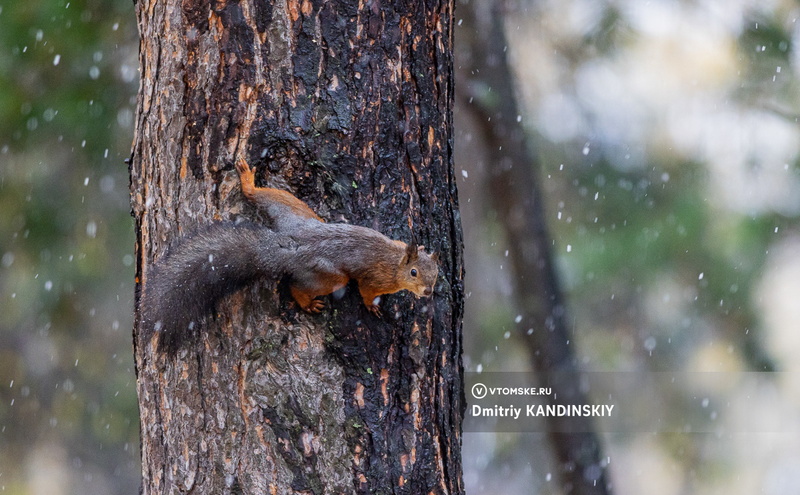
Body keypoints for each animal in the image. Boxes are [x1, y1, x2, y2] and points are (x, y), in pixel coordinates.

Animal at [138, 159, 438, 352]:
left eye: (437, 275)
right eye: (414, 273)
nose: (427, 292)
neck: (396, 262)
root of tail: (288, 244)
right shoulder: (374, 278)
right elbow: (366, 290)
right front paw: (372, 305)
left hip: (294, 211)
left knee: (261, 196)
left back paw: (248, 182)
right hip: (327, 273)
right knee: (297, 286)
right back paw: (307, 303)